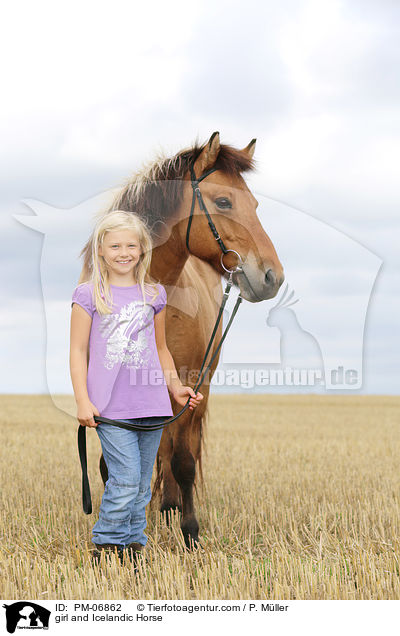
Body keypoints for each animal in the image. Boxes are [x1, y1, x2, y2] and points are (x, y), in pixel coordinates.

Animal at [78, 133, 284, 548]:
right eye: (224, 202)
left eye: (254, 204)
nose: (273, 276)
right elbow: (112, 465)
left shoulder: (189, 386)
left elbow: (183, 460)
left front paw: (190, 531)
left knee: (174, 446)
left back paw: (172, 507)